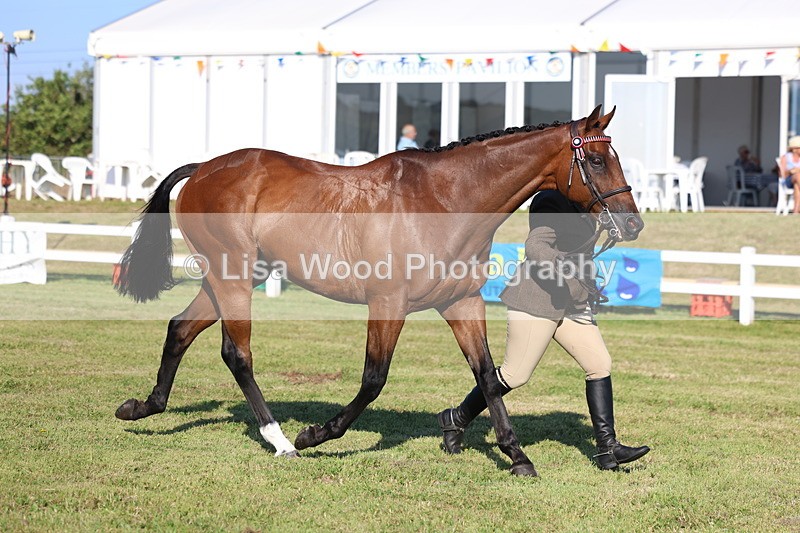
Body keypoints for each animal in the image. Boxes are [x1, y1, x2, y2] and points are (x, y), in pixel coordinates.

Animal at [114, 105, 643, 477]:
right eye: (597, 160)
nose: (633, 224)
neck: (444, 201)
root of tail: (204, 168)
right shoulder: (388, 304)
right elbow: (373, 379)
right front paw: (316, 434)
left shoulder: (461, 302)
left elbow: (490, 378)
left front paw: (517, 457)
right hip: (234, 279)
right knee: (236, 353)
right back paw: (280, 440)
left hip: (227, 279)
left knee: (180, 329)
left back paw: (143, 407)